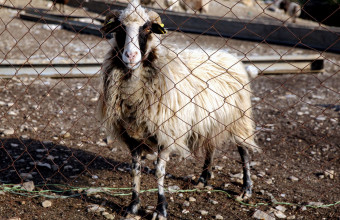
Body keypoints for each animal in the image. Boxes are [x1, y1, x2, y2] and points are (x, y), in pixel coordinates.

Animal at [98, 1, 258, 218]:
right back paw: (203, 179)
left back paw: (246, 189)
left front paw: (161, 209)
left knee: (244, 151)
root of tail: (231, 57)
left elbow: (159, 171)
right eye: (120, 29)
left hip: (239, 118)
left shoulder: (166, 135)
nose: (131, 56)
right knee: (211, 146)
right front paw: (133, 206)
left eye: (147, 28)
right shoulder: (132, 137)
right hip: (211, 120)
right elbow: (135, 170)